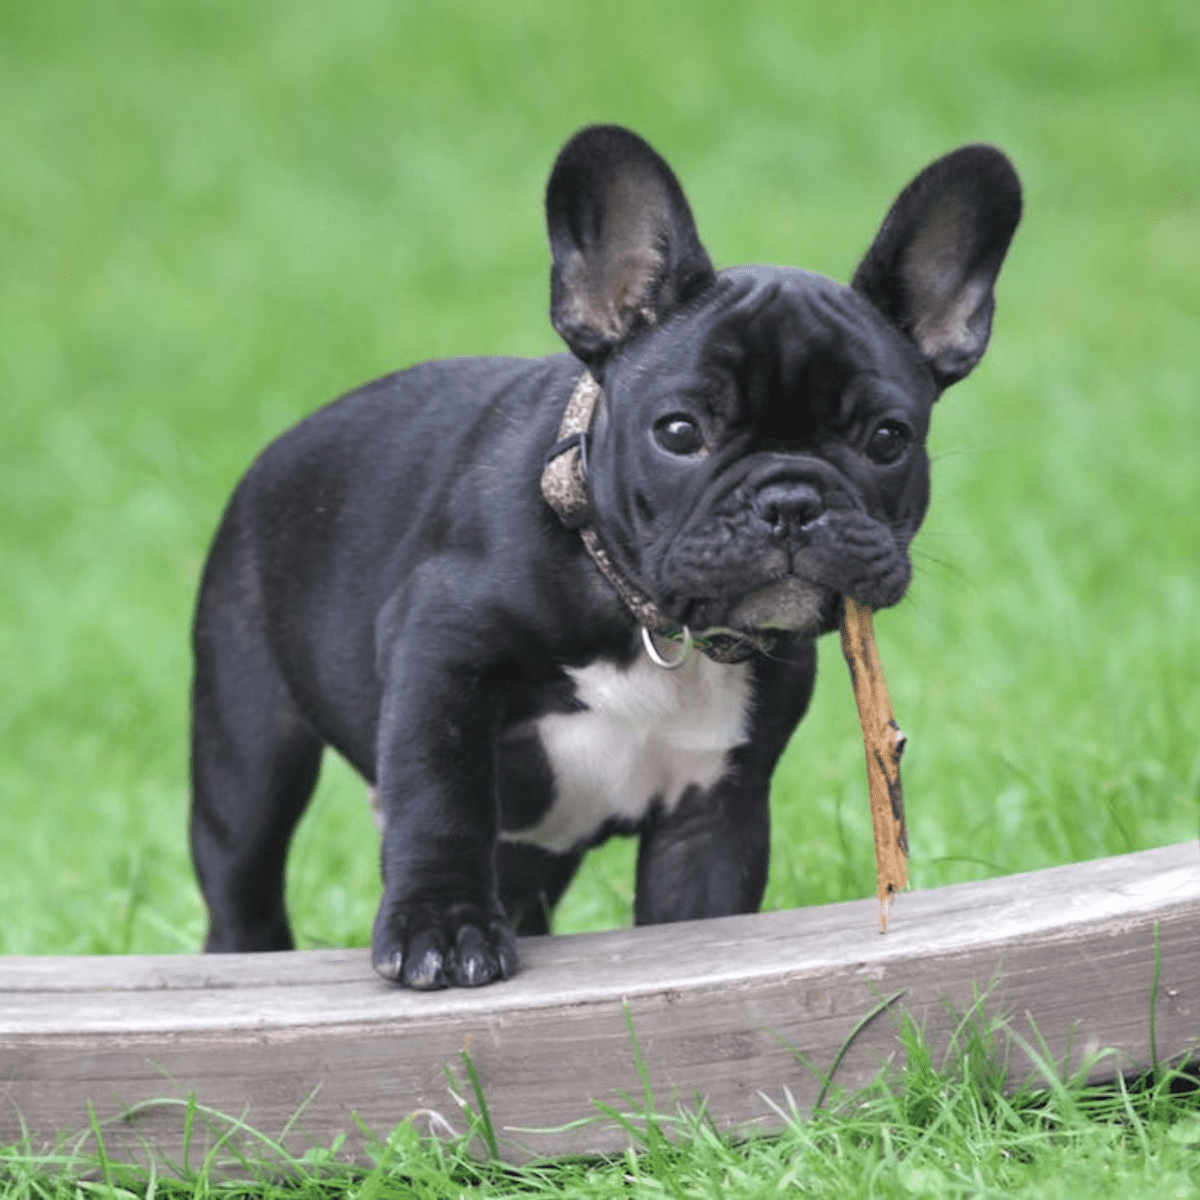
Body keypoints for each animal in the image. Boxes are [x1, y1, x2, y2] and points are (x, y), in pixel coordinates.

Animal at [189, 121, 1022, 988]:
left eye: (888, 440)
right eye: (680, 431)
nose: (790, 500)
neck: (643, 614)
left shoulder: (712, 812)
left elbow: (702, 913)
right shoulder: (439, 654)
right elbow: (441, 796)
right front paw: (442, 927)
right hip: (248, 745)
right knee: (243, 873)